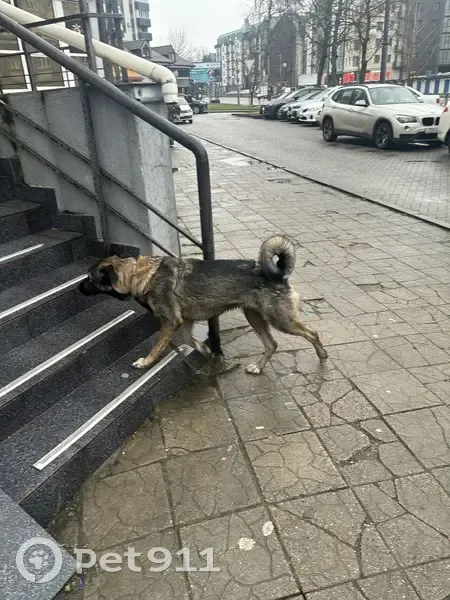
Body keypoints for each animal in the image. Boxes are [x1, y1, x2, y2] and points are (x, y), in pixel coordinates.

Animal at [78, 235, 328, 373]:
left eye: (90, 278)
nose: (78, 288)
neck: (141, 275)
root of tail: (278, 274)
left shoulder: (170, 322)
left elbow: (157, 347)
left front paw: (146, 362)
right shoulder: (184, 322)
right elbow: (189, 340)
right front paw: (205, 349)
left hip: (281, 319)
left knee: (312, 332)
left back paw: (322, 355)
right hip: (254, 316)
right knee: (271, 344)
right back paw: (258, 366)